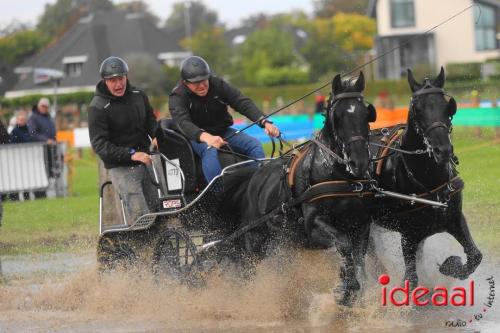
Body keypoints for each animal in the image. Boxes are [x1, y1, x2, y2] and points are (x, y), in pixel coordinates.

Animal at [240, 71, 376, 304]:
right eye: (337, 116)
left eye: (365, 113)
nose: (359, 162)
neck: (339, 175)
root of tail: (256, 174)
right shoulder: (313, 226)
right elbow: (344, 244)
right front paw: (346, 287)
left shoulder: (362, 224)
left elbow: (359, 259)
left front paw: (352, 287)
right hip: (255, 241)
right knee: (250, 269)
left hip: (287, 244)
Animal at [374, 67, 482, 286]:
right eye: (417, 108)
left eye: (448, 107)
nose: (443, 151)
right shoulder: (408, 235)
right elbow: (411, 279)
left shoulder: (454, 218)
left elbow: (475, 256)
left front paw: (451, 266)